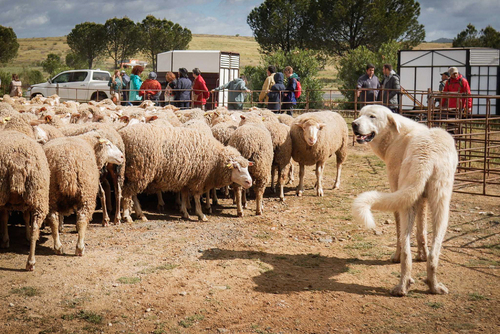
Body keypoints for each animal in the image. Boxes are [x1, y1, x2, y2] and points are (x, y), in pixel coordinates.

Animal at [0, 131, 49, 272]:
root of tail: (17, 163)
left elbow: (5, 218)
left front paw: (5, 240)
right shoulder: (26, 202)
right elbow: (26, 217)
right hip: (38, 196)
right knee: (35, 228)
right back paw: (31, 262)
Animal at [119, 123, 252, 222]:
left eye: (247, 167)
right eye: (235, 167)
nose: (249, 182)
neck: (215, 160)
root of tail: (123, 134)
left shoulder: (187, 177)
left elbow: (184, 194)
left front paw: (184, 212)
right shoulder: (198, 179)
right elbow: (197, 198)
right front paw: (201, 215)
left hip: (135, 173)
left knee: (132, 195)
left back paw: (140, 215)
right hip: (139, 172)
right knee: (128, 194)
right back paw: (127, 216)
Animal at [352, 105, 458, 296]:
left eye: (372, 116)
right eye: (360, 114)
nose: (353, 124)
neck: (395, 135)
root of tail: (427, 157)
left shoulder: (397, 190)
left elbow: (400, 232)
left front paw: (396, 256)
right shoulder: (420, 198)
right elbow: (421, 231)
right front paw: (422, 256)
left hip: (407, 202)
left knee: (405, 247)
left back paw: (402, 285)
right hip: (440, 204)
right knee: (433, 254)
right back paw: (432, 286)